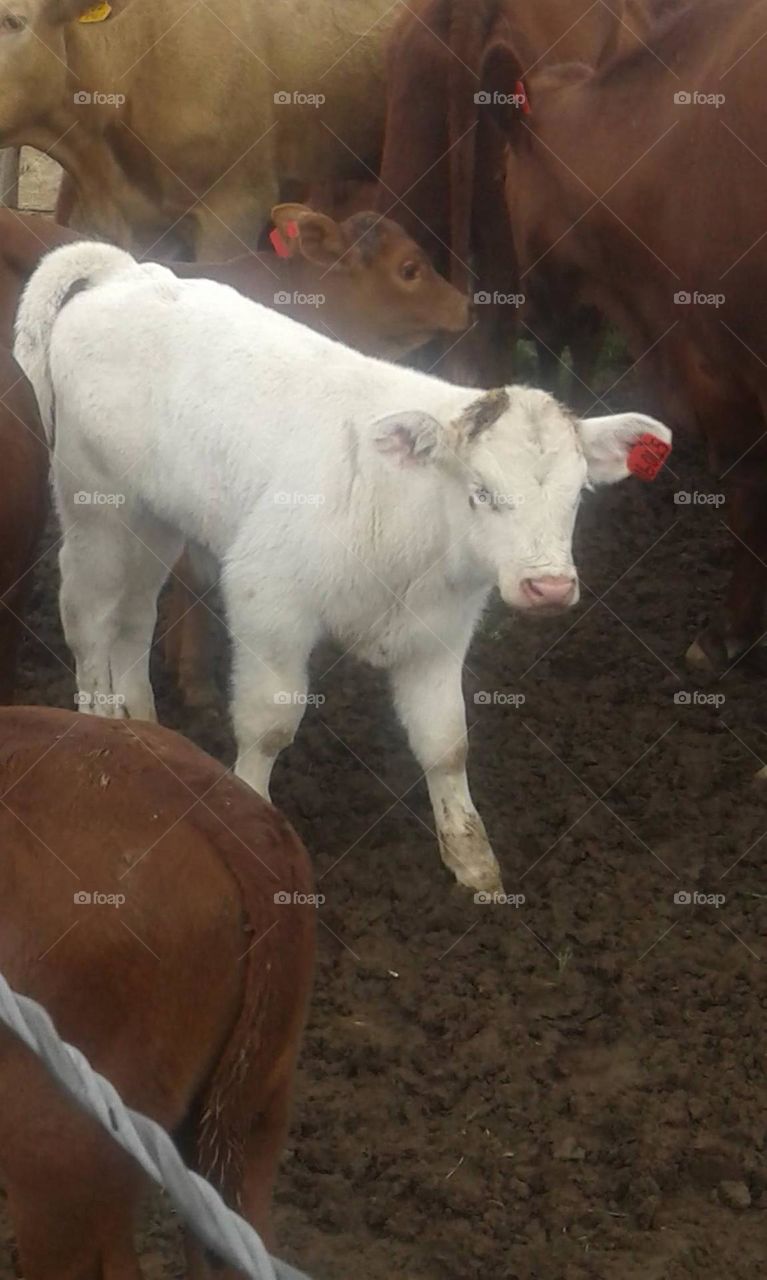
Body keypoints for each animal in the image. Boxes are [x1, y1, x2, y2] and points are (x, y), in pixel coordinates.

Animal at [14, 241, 672, 893]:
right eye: (480, 491)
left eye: (578, 493)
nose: (549, 586)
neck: (409, 523)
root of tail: (128, 272)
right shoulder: (268, 601)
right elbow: (269, 725)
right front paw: (253, 814)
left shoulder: (439, 632)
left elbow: (447, 742)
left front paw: (472, 858)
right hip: (96, 507)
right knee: (88, 616)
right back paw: (99, 721)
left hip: (156, 517)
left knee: (135, 616)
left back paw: (146, 730)